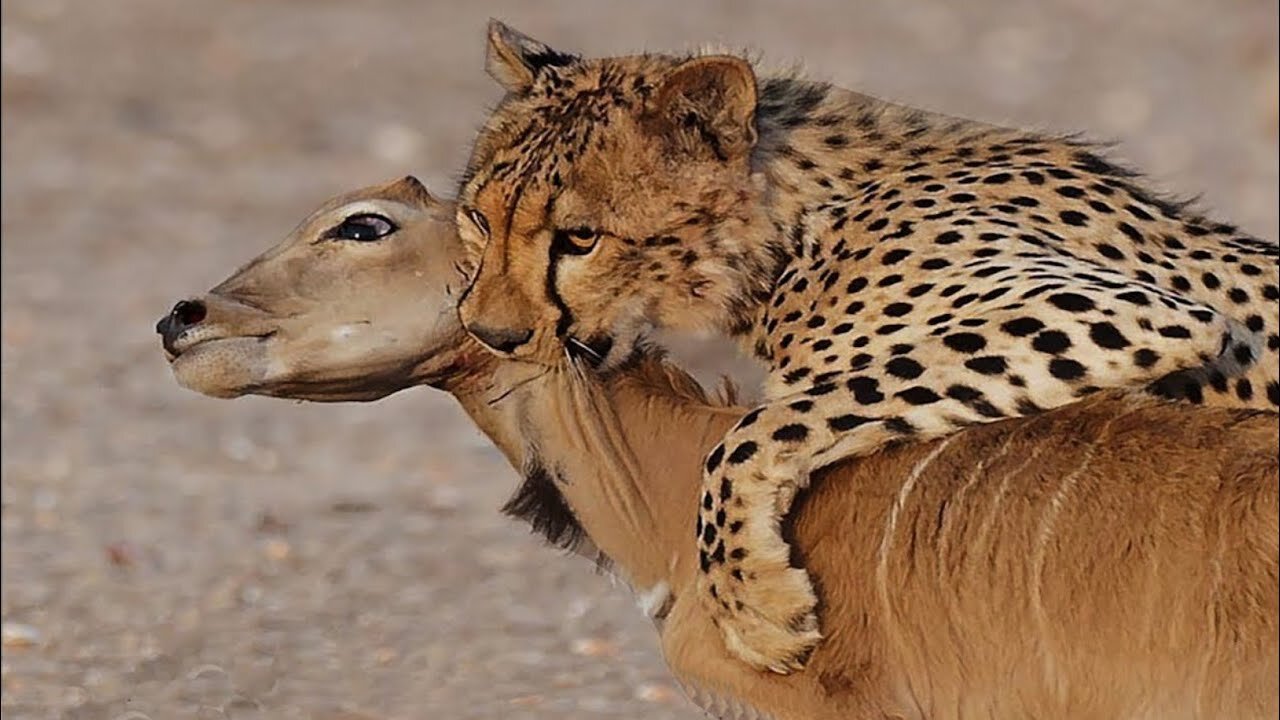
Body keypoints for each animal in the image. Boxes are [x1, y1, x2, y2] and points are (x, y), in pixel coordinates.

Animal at [453, 23, 1280, 671]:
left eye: (580, 238)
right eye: (478, 218)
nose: (489, 332)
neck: (789, 224)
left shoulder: (1122, 310)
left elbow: (753, 431)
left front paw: (753, 604)